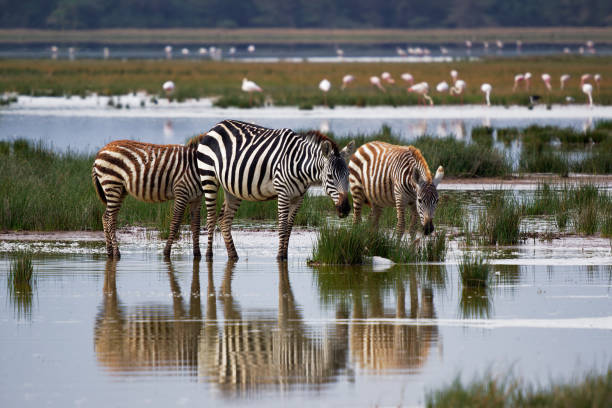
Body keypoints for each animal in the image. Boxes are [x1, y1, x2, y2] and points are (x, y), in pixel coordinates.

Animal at [197, 120, 354, 262]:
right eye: (330, 176)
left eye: (348, 175)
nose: (345, 208)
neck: (299, 165)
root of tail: (216, 126)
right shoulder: (283, 193)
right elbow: (283, 227)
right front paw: (279, 257)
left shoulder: (298, 198)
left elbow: (289, 228)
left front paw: (284, 256)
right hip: (208, 177)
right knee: (211, 218)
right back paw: (209, 255)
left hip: (232, 188)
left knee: (224, 220)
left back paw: (233, 255)